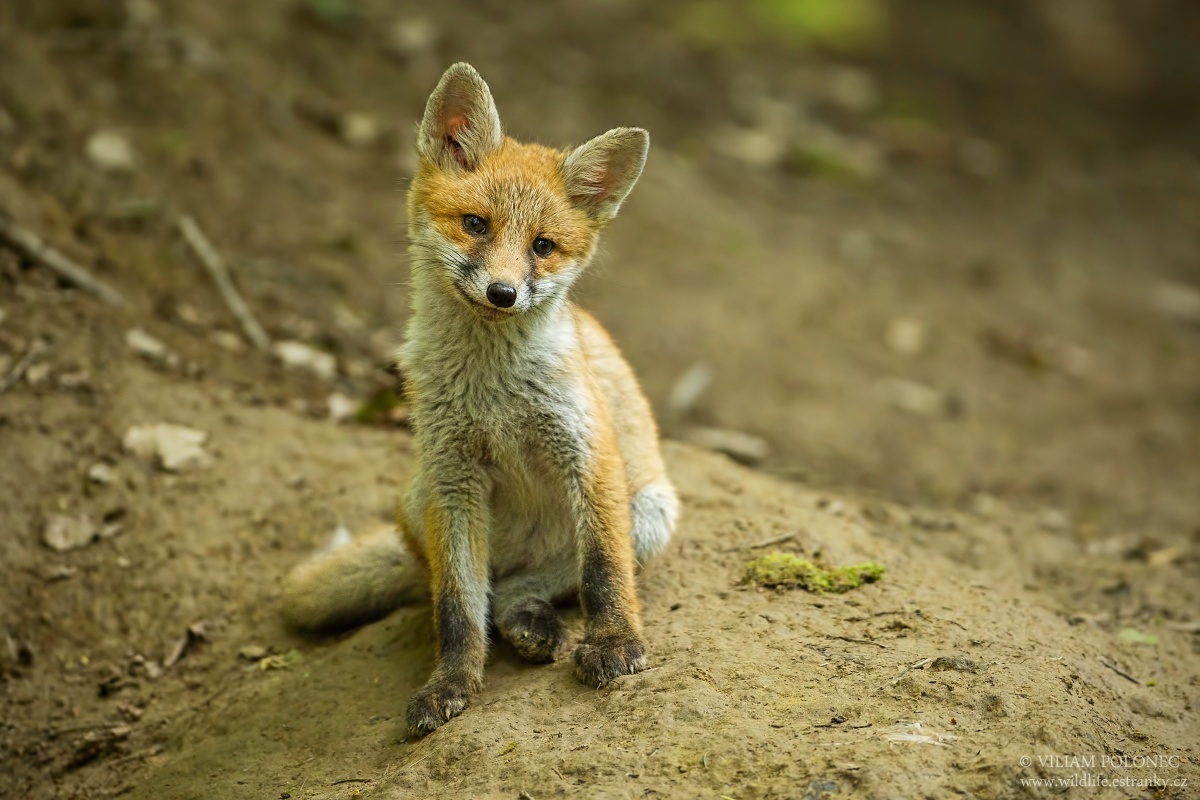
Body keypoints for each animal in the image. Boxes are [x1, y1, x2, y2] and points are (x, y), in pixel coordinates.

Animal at [278, 64, 676, 738]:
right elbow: (458, 610)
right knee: (481, 590)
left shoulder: (587, 452)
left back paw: (531, 616)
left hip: (649, 509)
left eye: (542, 246)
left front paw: (616, 643)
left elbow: (603, 572)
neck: (493, 392)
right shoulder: (454, 477)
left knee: (543, 581)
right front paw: (451, 684)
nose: (503, 293)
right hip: (420, 501)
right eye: (475, 224)